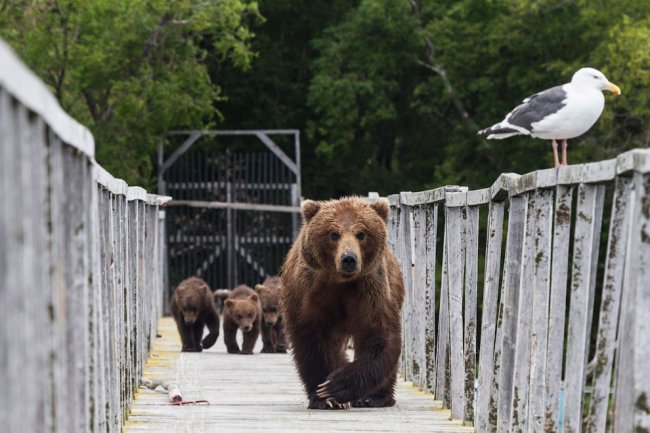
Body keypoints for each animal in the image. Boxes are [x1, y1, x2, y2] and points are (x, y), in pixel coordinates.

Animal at [280, 196, 402, 408]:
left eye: (361, 233)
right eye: (334, 234)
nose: (349, 259)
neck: (341, 282)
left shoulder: (371, 290)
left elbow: (380, 336)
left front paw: (335, 387)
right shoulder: (309, 293)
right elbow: (311, 339)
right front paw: (323, 396)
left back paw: (376, 397)